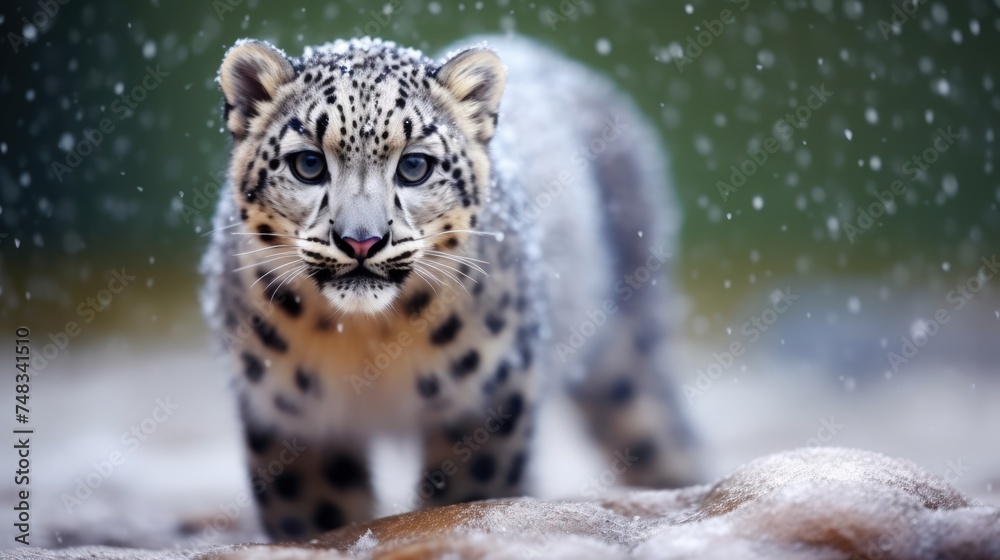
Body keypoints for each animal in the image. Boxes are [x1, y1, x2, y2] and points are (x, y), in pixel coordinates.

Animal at [202, 34, 699, 541]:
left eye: (414, 166)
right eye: (308, 163)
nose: (361, 240)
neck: (364, 340)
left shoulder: (488, 392)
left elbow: (469, 494)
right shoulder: (288, 413)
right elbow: (318, 514)